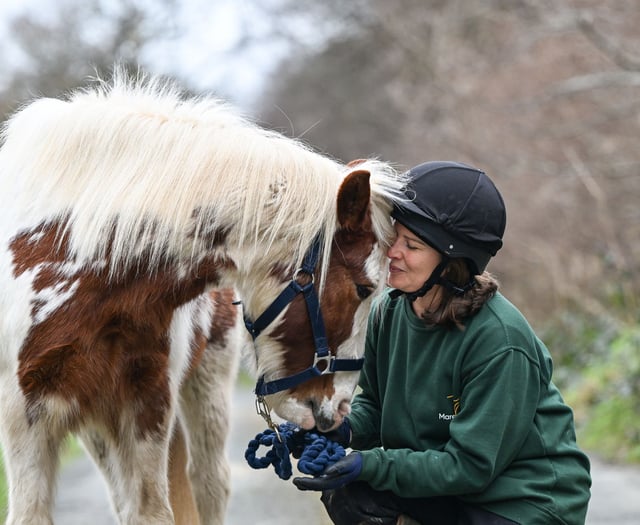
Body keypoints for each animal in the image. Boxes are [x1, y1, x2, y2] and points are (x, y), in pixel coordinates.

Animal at [0, 74, 406, 524]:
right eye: (364, 289)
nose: (338, 411)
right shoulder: (27, 418)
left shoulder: (147, 407)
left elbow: (154, 512)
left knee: (208, 482)